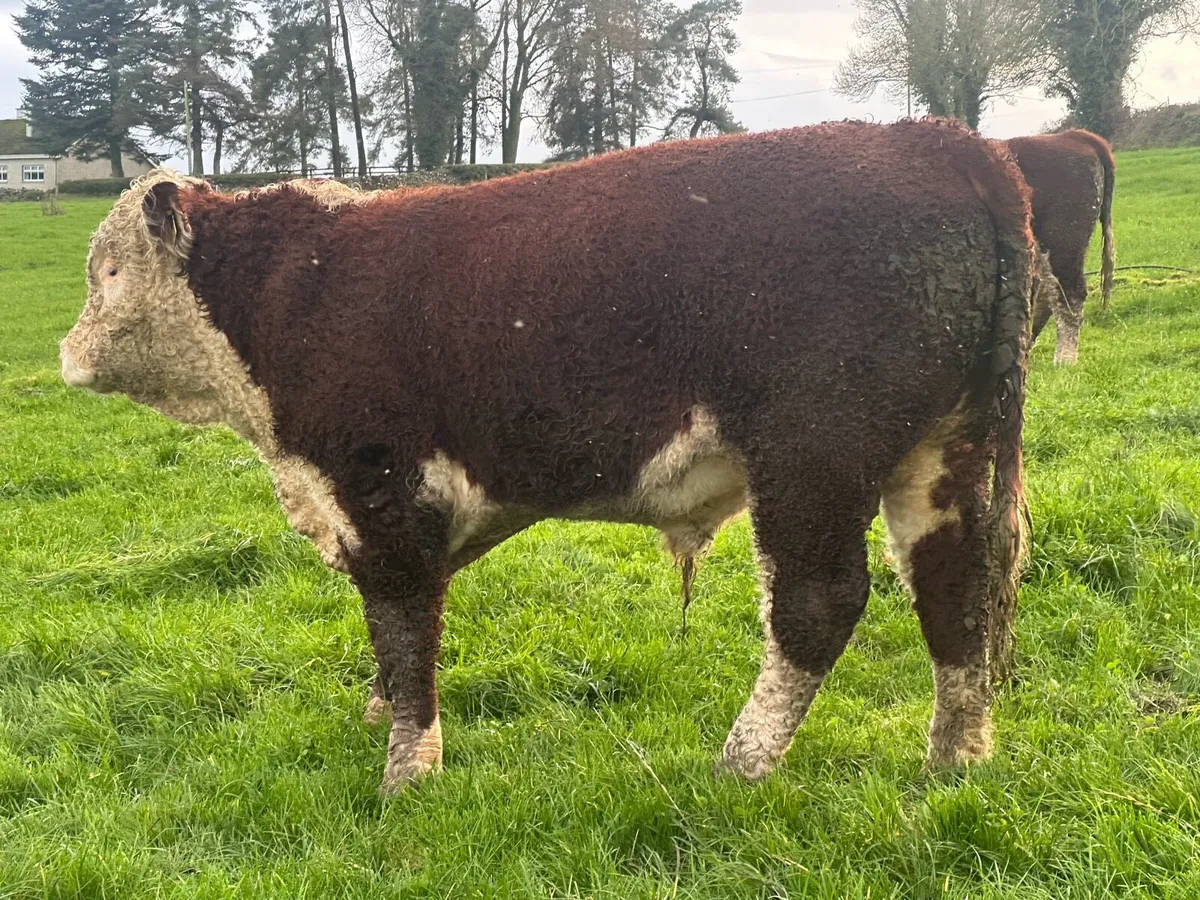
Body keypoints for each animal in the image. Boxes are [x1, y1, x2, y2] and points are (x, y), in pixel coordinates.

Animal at [60, 119, 1033, 793]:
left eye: (105, 273)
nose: (68, 352)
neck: (288, 290)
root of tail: (937, 138)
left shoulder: (382, 486)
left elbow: (405, 622)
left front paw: (407, 768)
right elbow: (389, 629)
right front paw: (381, 713)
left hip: (815, 450)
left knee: (818, 603)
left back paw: (742, 764)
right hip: (943, 449)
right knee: (958, 586)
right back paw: (955, 761)